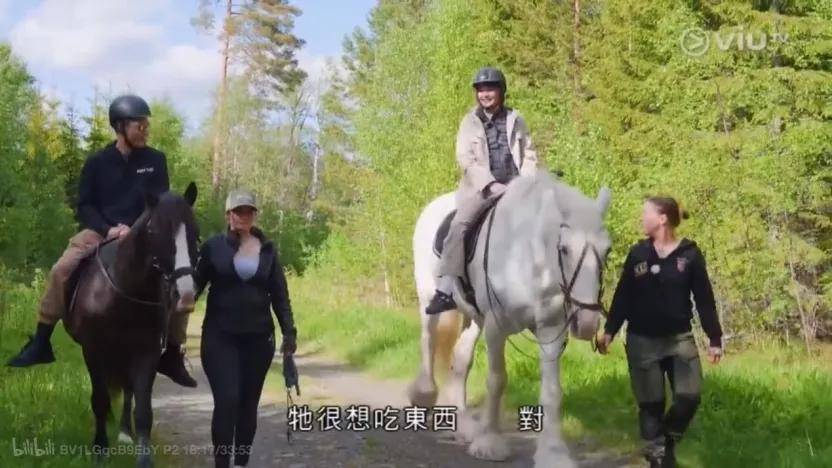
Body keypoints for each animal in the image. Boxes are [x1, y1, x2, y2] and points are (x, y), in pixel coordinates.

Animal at [63, 183, 199, 468]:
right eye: (156, 231)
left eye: (195, 232)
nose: (185, 295)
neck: (124, 291)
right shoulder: (93, 350)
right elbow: (100, 400)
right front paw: (100, 450)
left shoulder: (145, 353)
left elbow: (144, 410)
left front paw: (144, 458)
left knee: (127, 390)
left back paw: (125, 432)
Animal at [408, 170, 611, 467]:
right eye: (564, 249)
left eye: (607, 251)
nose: (586, 322)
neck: (529, 258)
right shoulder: (496, 325)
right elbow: (496, 380)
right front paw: (490, 443)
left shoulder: (551, 329)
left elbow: (552, 391)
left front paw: (553, 453)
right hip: (428, 296)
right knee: (428, 340)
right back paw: (424, 394)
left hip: (474, 318)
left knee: (461, 359)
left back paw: (464, 426)